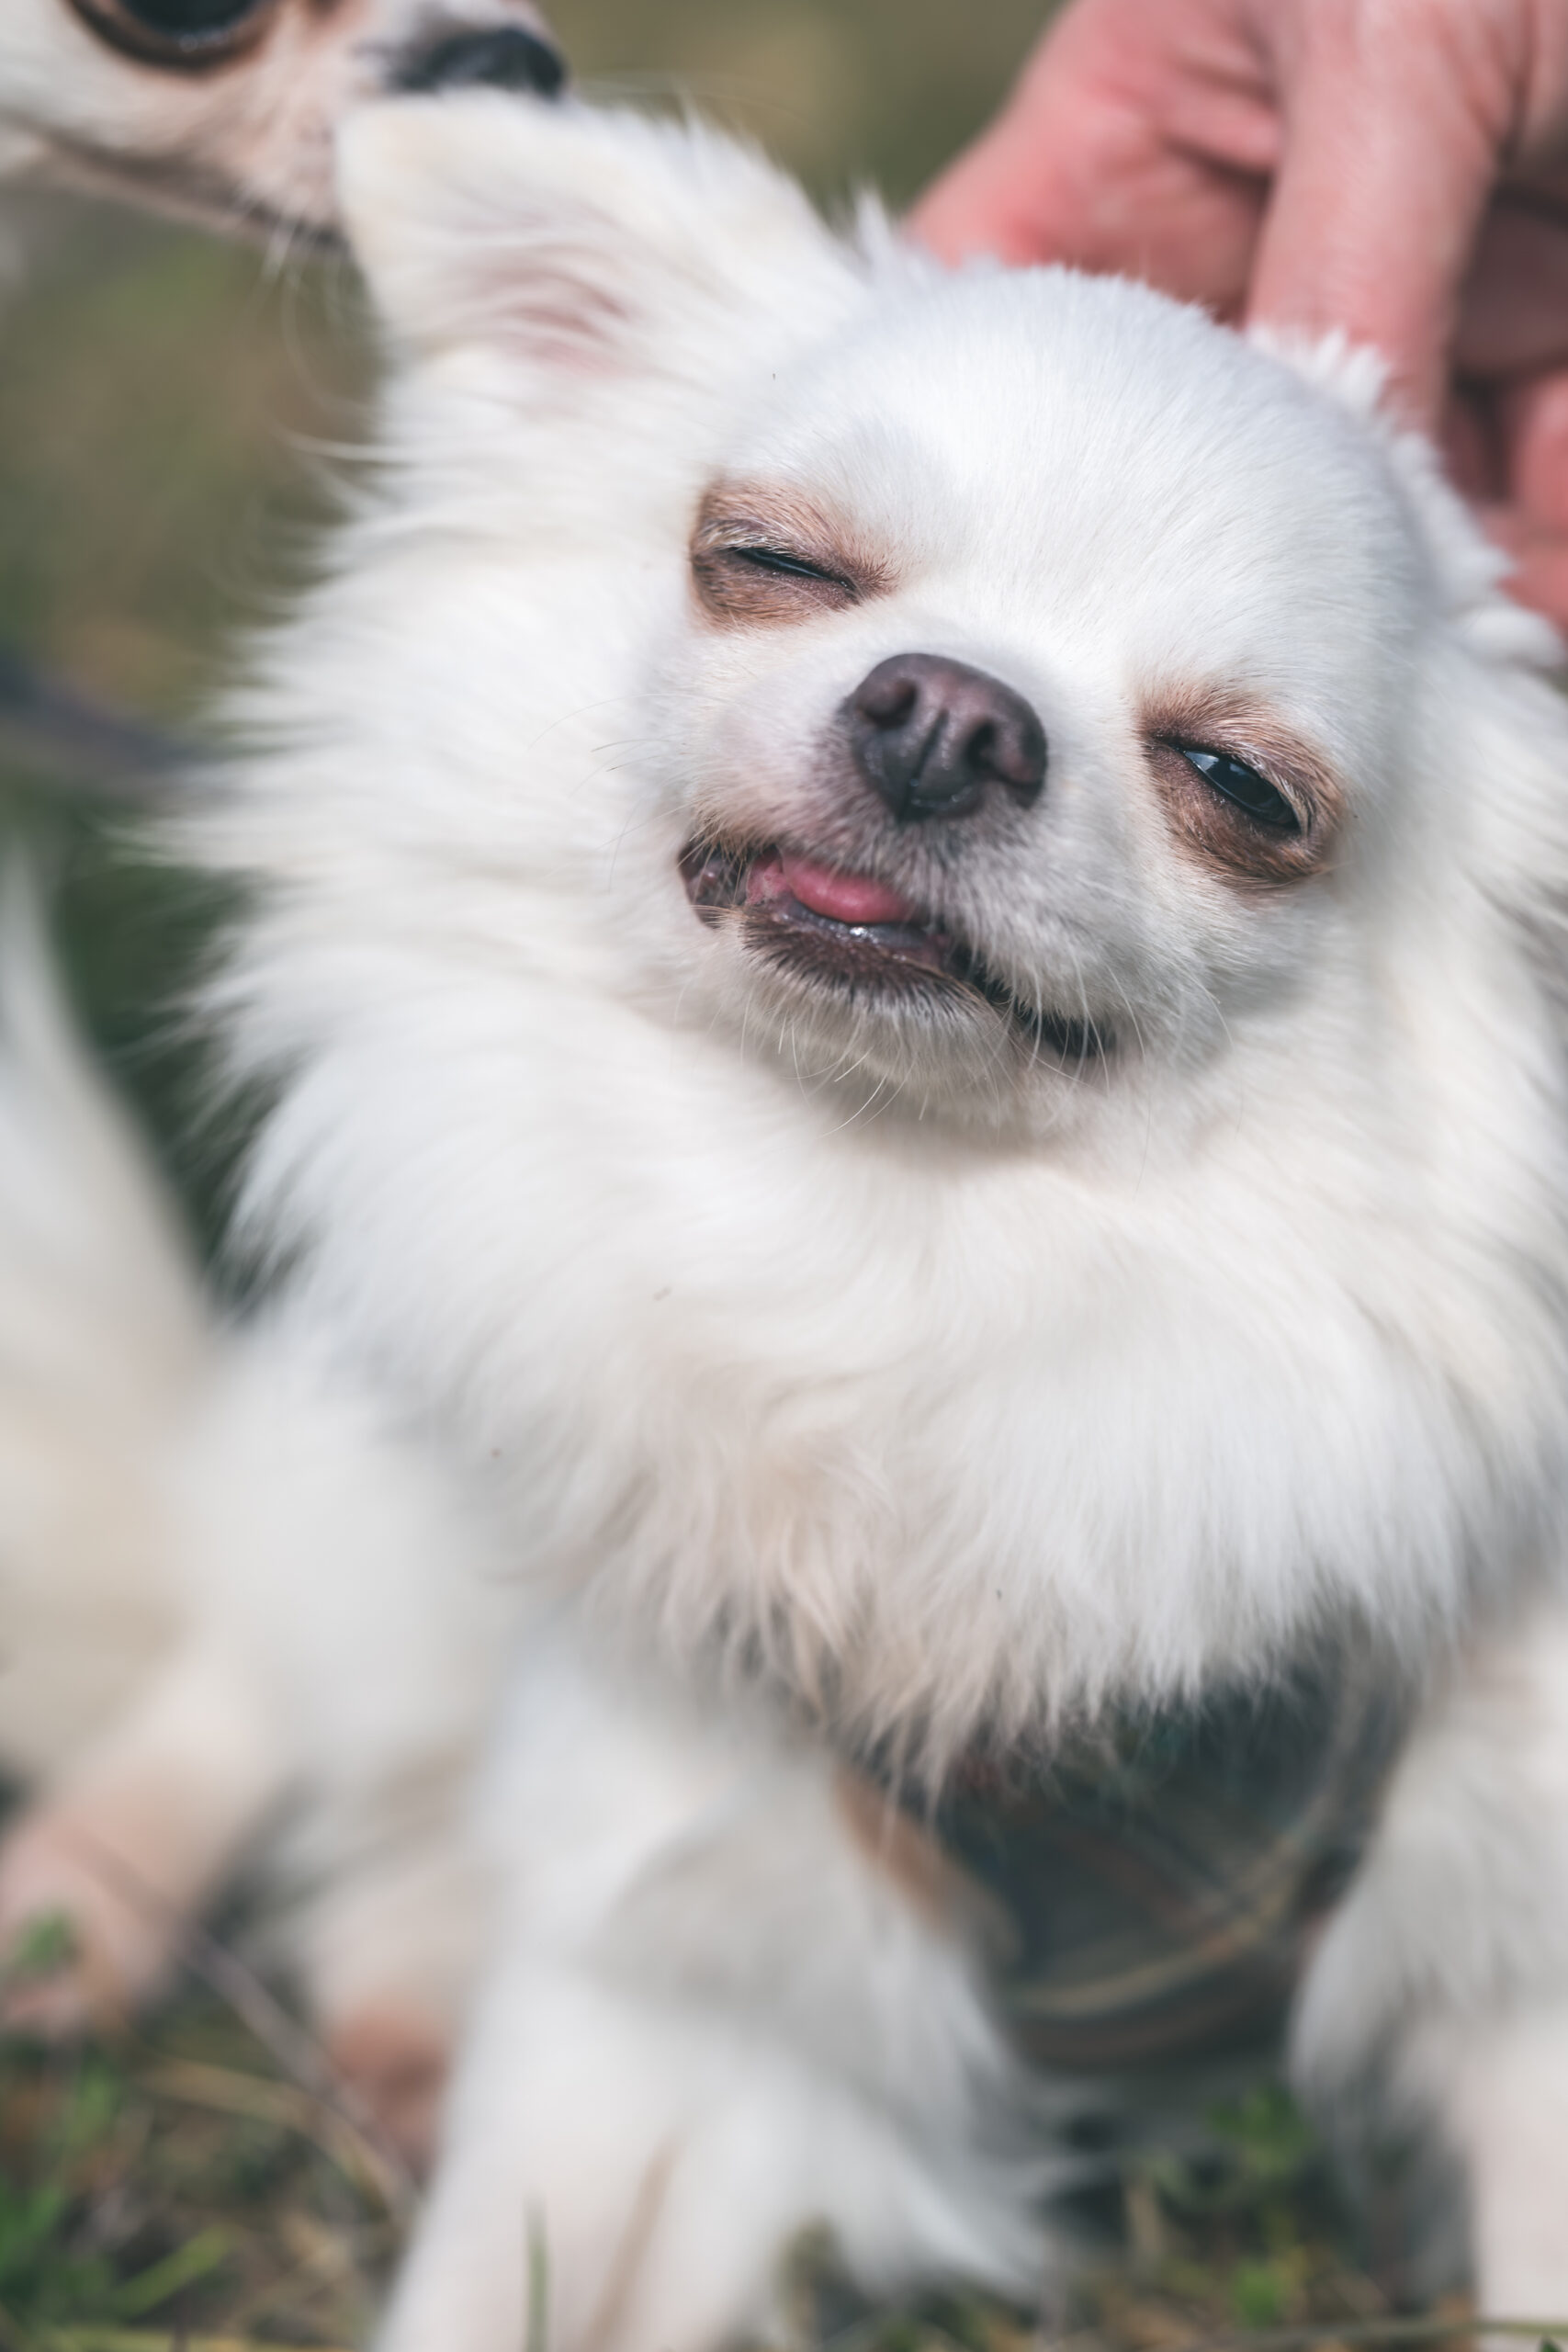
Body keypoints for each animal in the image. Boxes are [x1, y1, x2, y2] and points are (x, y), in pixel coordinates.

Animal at [12, 81, 1568, 2331]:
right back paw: (85, 1902)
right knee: (258, 1644)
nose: (947, 710)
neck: (899, 1251)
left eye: (1238, 788)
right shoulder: (663, 1971)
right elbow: (495, 2275)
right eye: (769, 562)